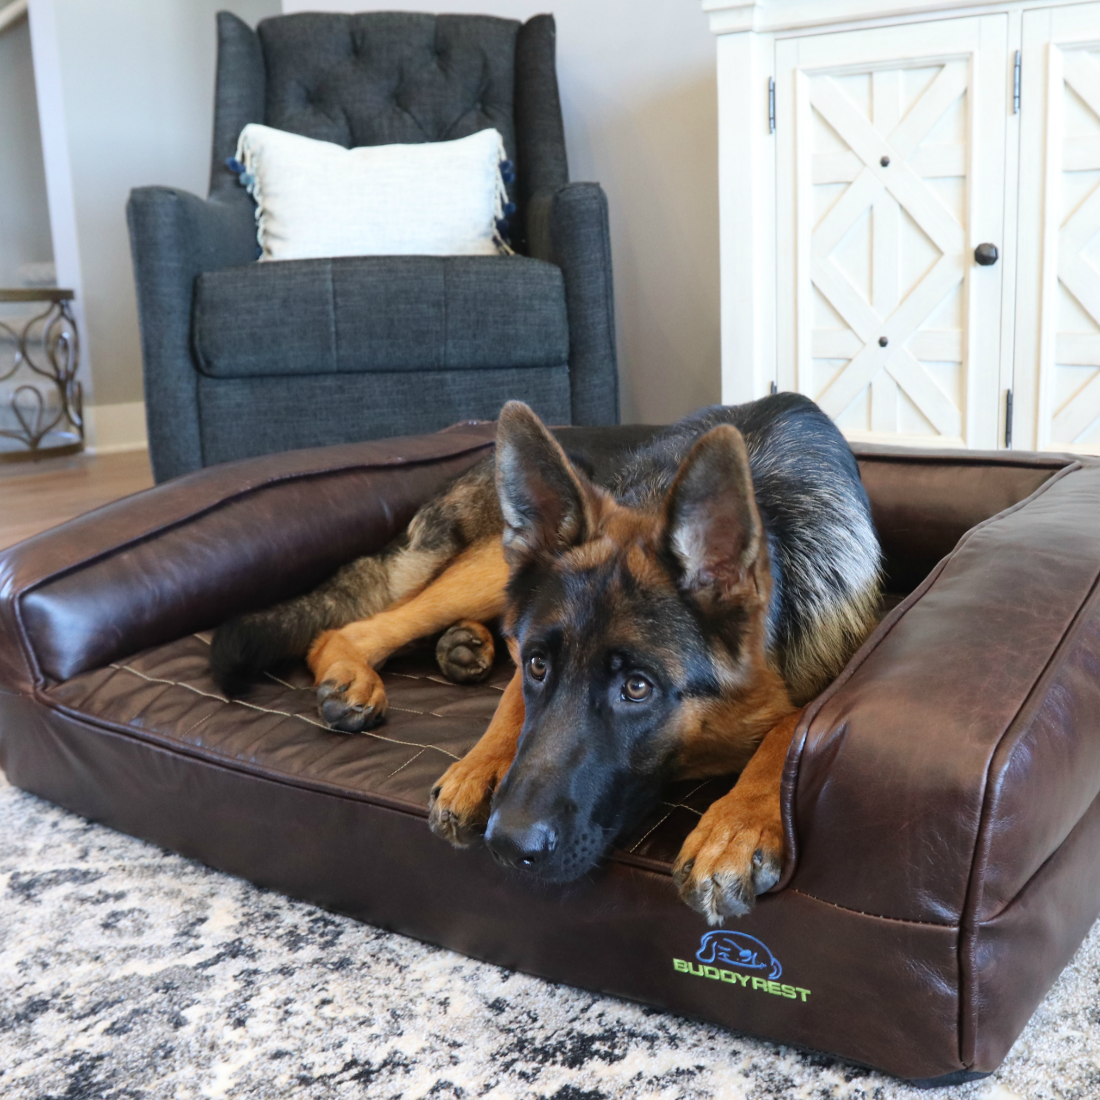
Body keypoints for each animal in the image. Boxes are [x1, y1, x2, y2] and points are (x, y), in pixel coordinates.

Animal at [210, 391, 880, 924]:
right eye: (540, 667)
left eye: (638, 688)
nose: (508, 846)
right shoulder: (532, 645)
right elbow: (514, 704)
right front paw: (480, 766)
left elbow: (792, 727)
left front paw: (735, 824)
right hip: (487, 567)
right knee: (349, 628)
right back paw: (357, 671)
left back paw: (462, 646)